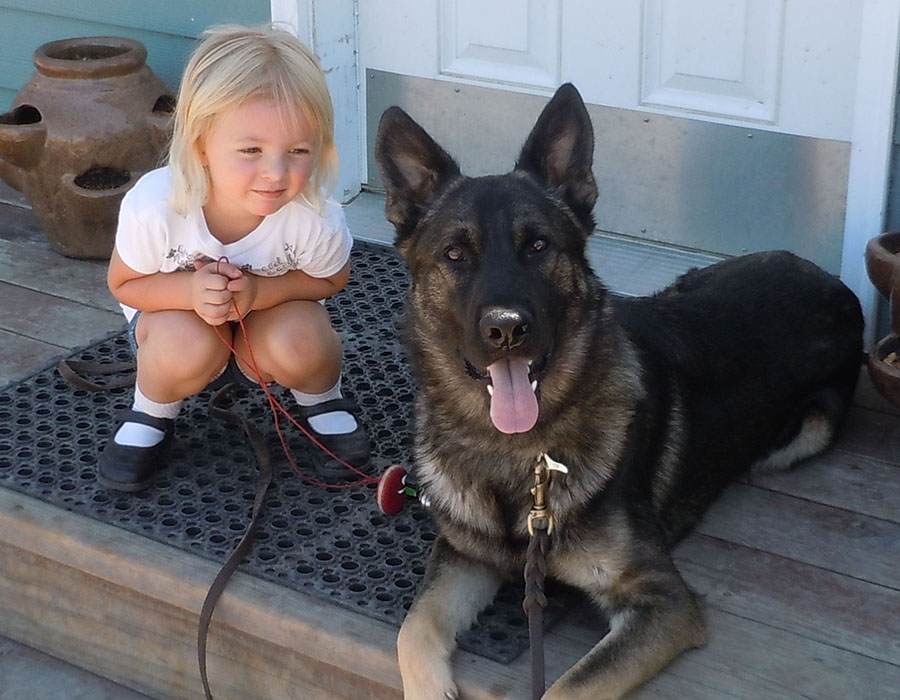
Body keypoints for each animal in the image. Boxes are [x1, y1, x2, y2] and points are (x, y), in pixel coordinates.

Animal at [372, 85, 864, 696]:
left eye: (539, 246)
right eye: (455, 255)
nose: (506, 329)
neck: (511, 451)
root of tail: (835, 283)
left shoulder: (662, 602)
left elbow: (569, 685)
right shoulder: (463, 556)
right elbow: (412, 629)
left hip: (805, 433)